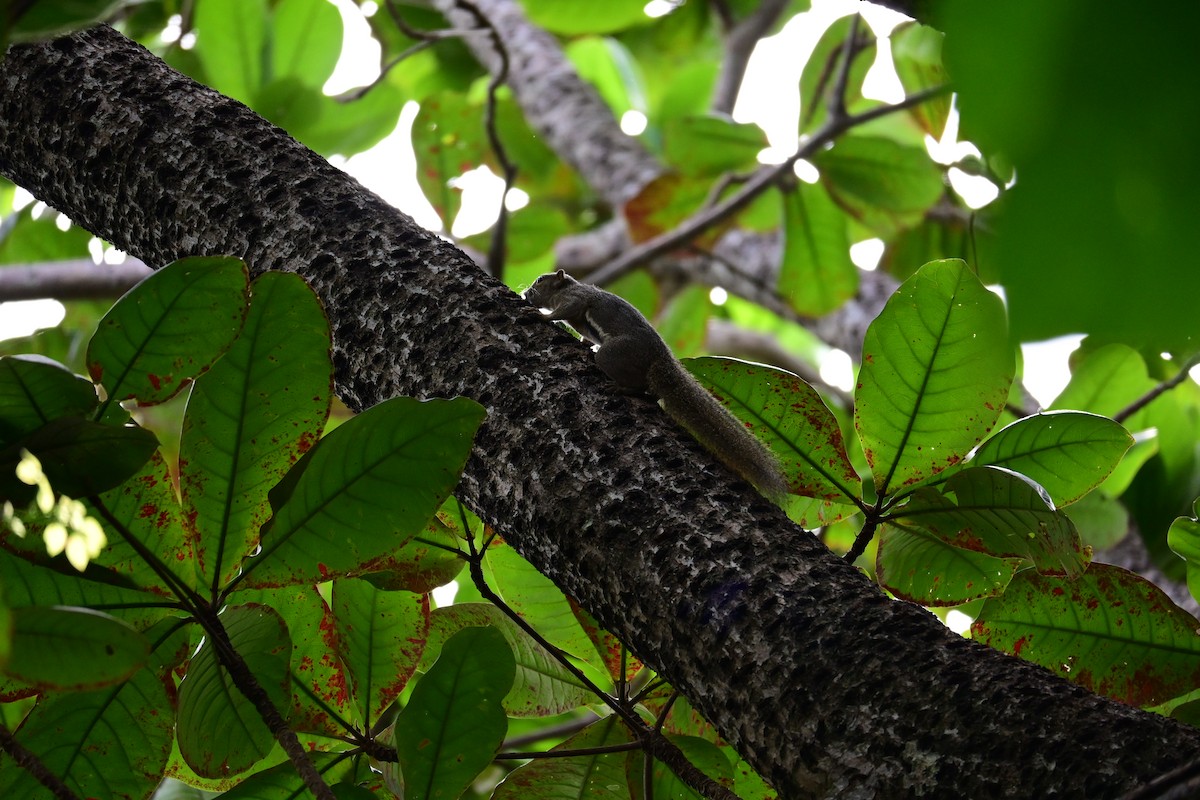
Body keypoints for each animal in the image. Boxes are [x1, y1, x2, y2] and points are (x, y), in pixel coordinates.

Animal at [524, 269, 788, 502]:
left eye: (540, 280)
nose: (526, 293)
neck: (567, 287)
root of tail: (661, 361)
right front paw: (583, 342)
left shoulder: (574, 299)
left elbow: (564, 311)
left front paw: (541, 316)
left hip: (613, 354)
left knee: (639, 386)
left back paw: (621, 388)